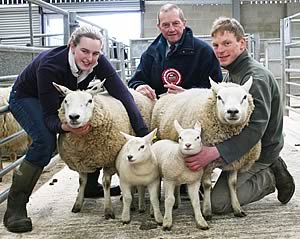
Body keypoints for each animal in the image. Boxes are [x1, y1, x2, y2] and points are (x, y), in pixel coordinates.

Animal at [52, 81, 154, 218]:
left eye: (90, 101)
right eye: (66, 101)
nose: (74, 117)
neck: (85, 144)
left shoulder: (110, 161)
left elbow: (106, 183)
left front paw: (108, 209)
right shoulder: (81, 162)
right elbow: (81, 181)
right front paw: (78, 204)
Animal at [151, 77, 262, 219]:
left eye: (244, 97)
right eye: (219, 97)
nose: (232, 111)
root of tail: (166, 94)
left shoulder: (235, 161)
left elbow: (233, 184)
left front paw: (237, 209)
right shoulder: (205, 163)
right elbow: (207, 185)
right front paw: (207, 211)